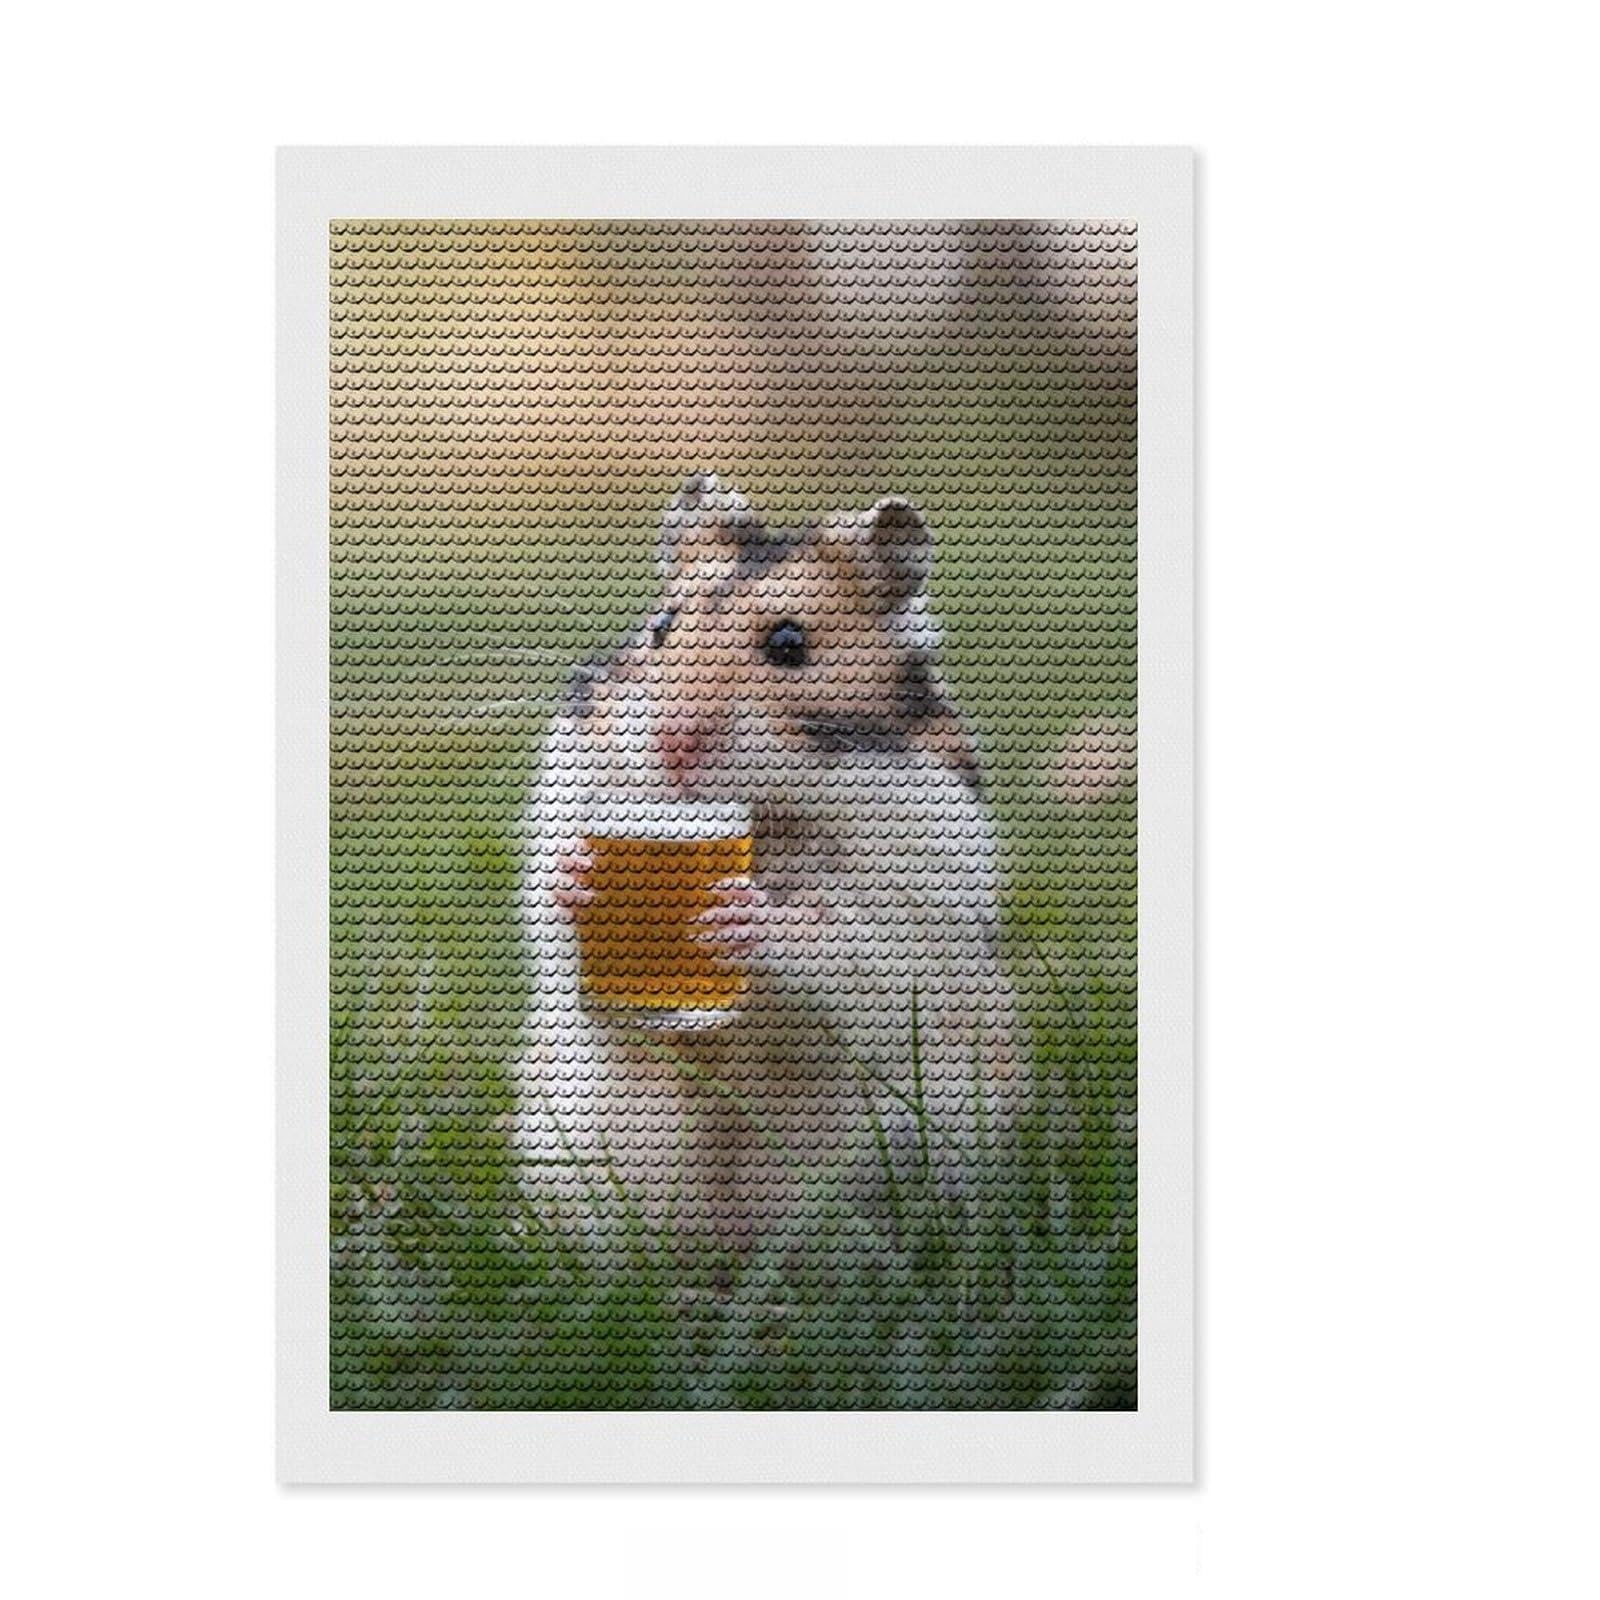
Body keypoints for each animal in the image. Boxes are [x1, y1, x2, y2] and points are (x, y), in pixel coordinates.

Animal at [516, 472, 1023, 1254]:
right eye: (661, 627)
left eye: (789, 643)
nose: (671, 743)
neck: (767, 817)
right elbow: (556, 919)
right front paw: (580, 878)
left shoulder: (919, 904)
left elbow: (847, 947)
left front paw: (742, 915)